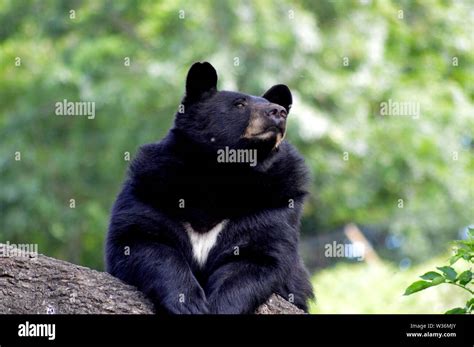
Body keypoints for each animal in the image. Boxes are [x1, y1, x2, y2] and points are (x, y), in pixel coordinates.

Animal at [105, 61, 312, 316]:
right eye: (239, 104)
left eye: (277, 108)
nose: (279, 112)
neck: (221, 173)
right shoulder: (151, 187)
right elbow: (143, 240)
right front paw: (189, 304)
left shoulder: (275, 202)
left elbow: (256, 258)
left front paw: (217, 307)